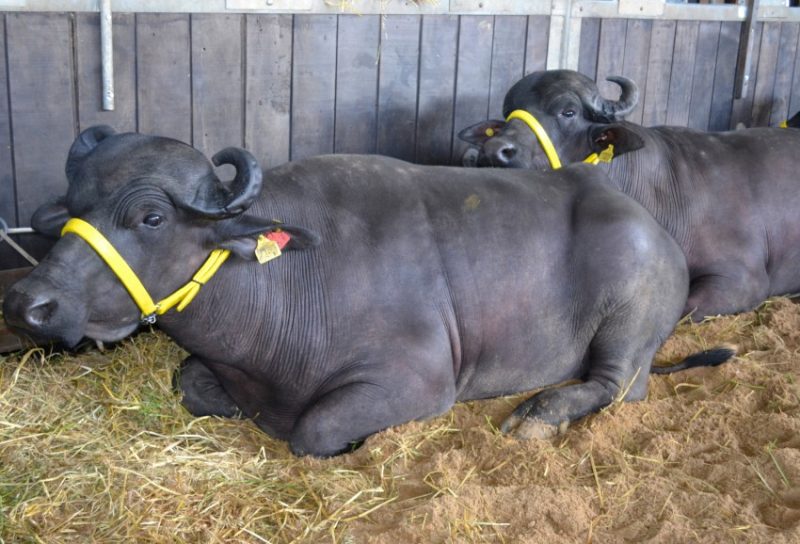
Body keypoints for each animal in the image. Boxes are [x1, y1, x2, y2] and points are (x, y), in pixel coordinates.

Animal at [4, 125, 732, 456]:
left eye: (151, 217)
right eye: (74, 205)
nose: (28, 304)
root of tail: (651, 228)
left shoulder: (419, 383)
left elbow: (315, 429)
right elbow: (192, 384)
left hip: (628, 321)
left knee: (615, 386)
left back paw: (537, 414)